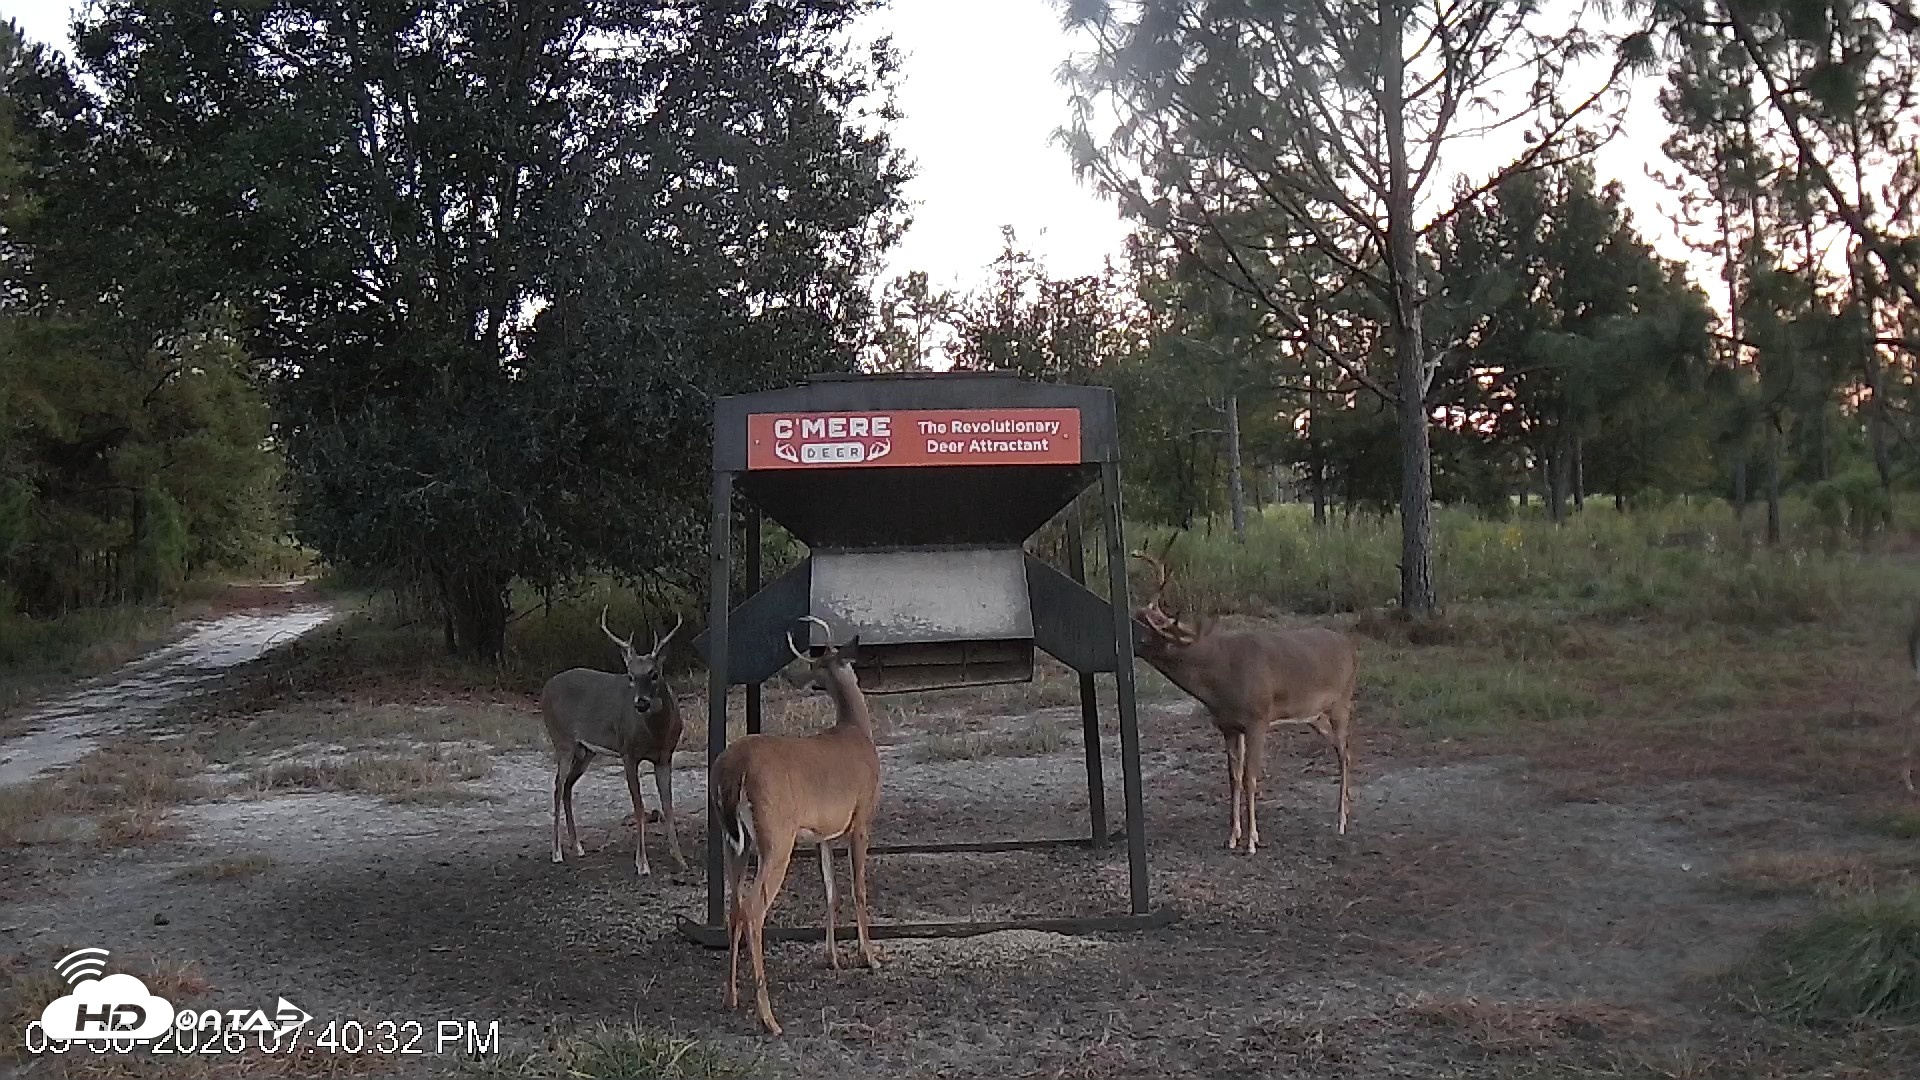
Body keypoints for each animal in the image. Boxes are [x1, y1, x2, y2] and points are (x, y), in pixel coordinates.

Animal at [537, 606, 687, 877]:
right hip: (562, 740)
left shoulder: (665, 756)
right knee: (557, 786)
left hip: (585, 750)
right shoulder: (628, 752)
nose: (640, 702)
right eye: (630, 675)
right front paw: (642, 863)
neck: (656, 733)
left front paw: (680, 859)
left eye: (654, 673)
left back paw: (578, 846)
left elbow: (668, 805)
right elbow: (639, 805)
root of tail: (545, 688)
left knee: (567, 786)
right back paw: (556, 852)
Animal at [710, 615, 882, 1037]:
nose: (792, 676)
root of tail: (733, 770)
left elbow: (830, 890)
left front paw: (832, 958)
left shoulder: (822, 834)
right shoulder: (860, 817)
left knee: (735, 905)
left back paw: (730, 997)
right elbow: (858, 889)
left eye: (816, 665)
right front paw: (869, 957)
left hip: (734, 841)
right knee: (754, 909)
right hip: (776, 836)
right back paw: (768, 1017)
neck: (856, 730)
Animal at [1129, 536, 1358, 850]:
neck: (1218, 678)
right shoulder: (1228, 726)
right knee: (1342, 751)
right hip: (1315, 716)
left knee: (1345, 753)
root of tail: (1350, 647)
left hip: (1342, 703)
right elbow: (1234, 778)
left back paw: (1341, 823)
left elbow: (1251, 776)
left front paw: (1252, 840)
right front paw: (1232, 837)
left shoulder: (1257, 719)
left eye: (1136, 627)